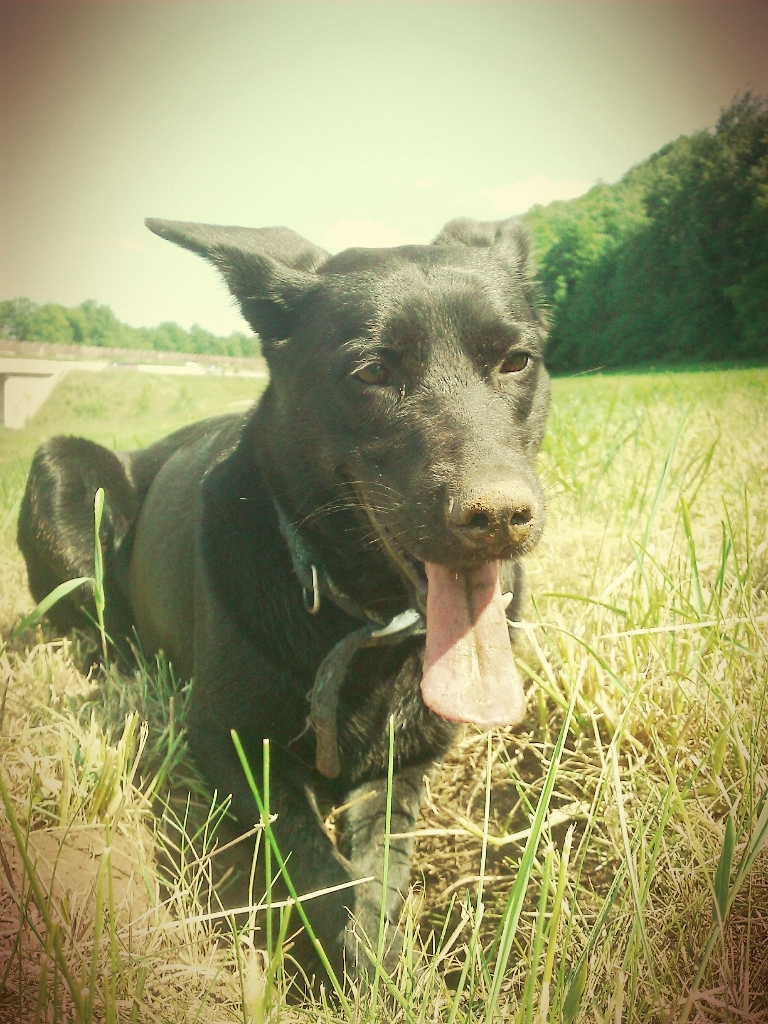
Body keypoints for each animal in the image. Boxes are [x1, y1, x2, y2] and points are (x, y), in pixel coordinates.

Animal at [16, 214, 552, 974]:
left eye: (515, 361)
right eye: (372, 372)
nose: (501, 518)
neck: (366, 621)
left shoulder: (405, 764)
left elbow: (377, 865)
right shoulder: (227, 741)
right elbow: (319, 869)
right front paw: (373, 966)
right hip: (62, 467)